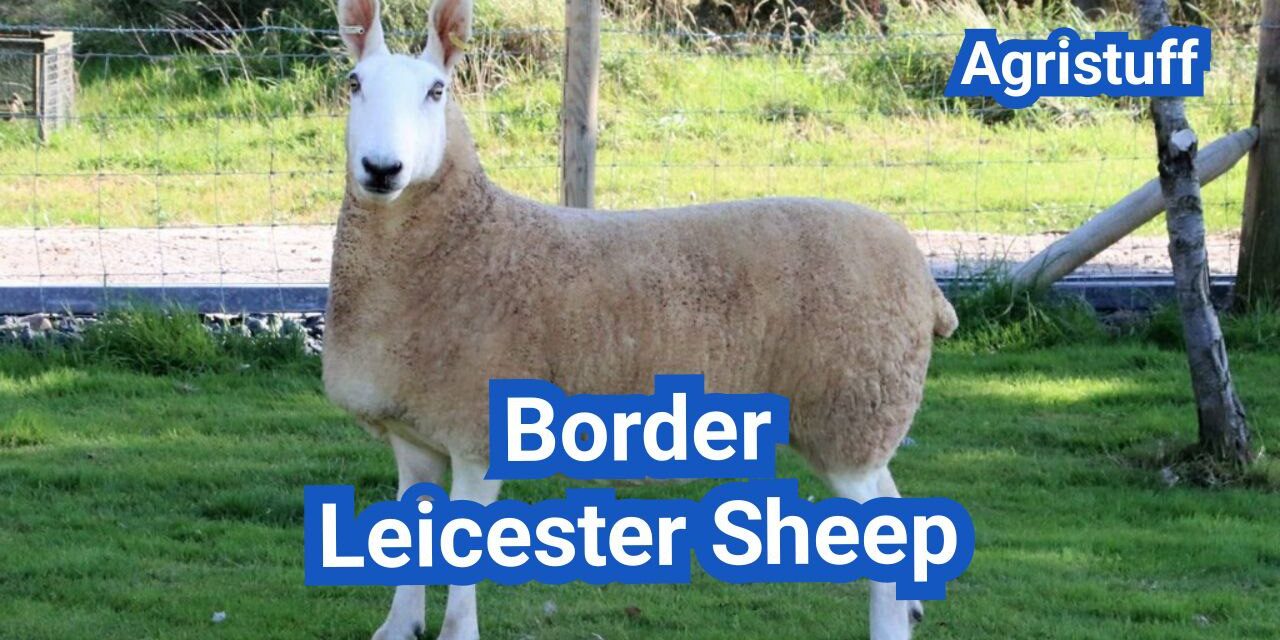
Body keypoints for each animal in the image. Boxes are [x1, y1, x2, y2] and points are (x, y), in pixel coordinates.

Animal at [323, 0, 958, 638]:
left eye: (437, 91)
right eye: (354, 84)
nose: (382, 168)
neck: (465, 240)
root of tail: (926, 280)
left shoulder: (477, 432)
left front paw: (456, 629)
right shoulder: (414, 433)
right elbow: (410, 544)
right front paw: (398, 626)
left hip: (853, 406)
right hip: (854, 422)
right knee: (894, 501)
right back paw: (913, 607)